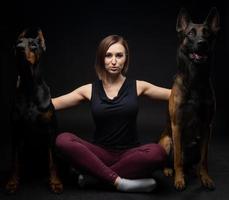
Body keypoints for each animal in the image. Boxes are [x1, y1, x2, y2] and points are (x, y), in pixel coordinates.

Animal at [159, 8, 220, 191]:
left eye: (207, 33)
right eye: (190, 34)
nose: (202, 43)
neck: (196, 81)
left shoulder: (207, 127)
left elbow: (204, 160)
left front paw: (205, 178)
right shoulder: (177, 125)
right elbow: (178, 159)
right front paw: (179, 179)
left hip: (197, 143)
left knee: (195, 162)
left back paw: (194, 171)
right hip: (166, 141)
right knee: (171, 160)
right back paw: (169, 170)